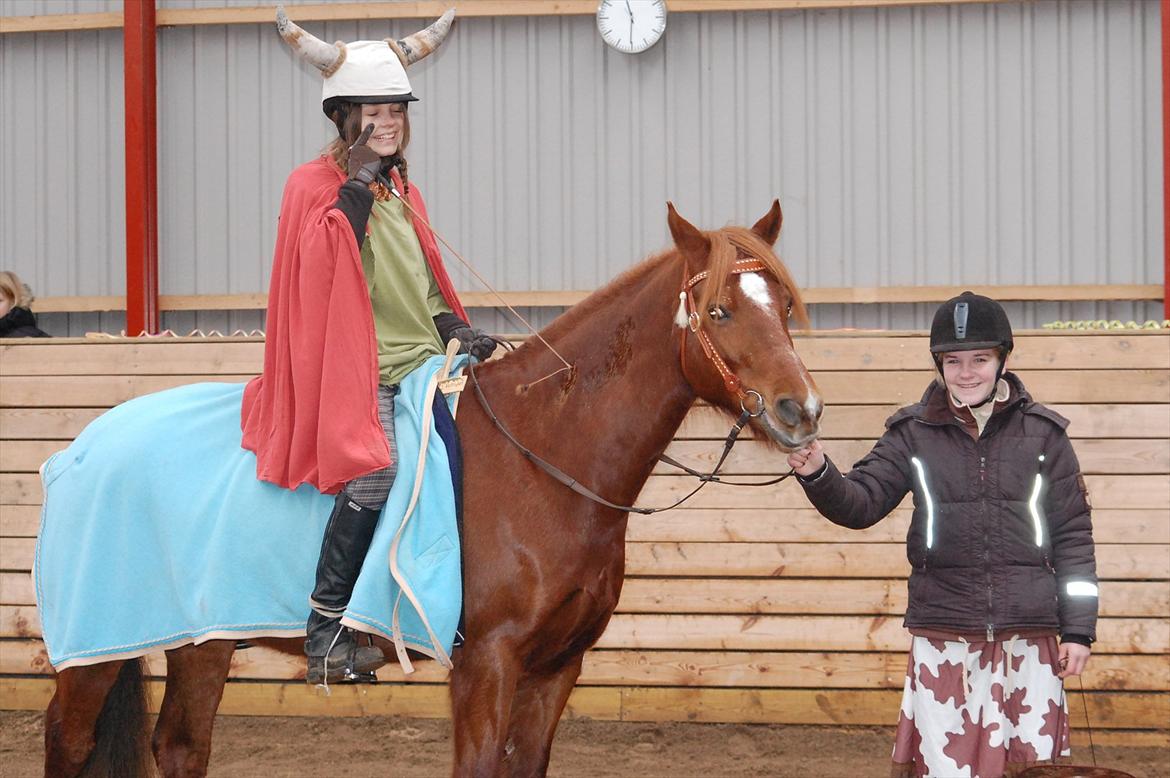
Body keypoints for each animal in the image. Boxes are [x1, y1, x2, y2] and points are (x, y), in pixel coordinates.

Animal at [43, 201, 814, 776]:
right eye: (717, 311)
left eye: (780, 302)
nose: (800, 411)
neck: (542, 461)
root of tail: (82, 450)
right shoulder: (486, 666)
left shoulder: (556, 668)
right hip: (98, 648)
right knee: (69, 739)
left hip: (200, 640)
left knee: (180, 746)